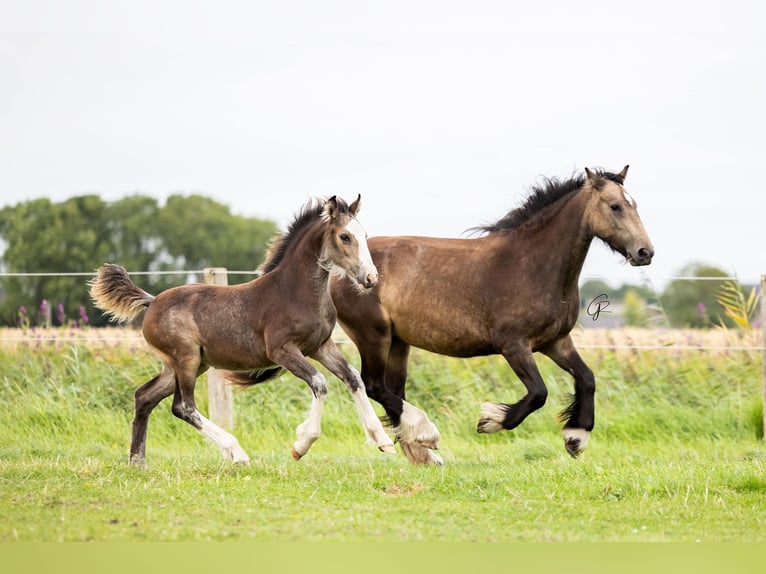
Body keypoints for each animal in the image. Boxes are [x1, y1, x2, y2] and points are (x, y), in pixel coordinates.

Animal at [90, 196, 396, 466]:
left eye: (364, 234)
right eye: (345, 237)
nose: (370, 278)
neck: (296, 291)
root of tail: (151, 301)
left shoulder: (321, 346)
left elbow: (353, 377)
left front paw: (383, 440)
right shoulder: (282, 351)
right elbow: (319, 383)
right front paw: (301, 445)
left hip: (185, 365)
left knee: (144, 396)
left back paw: (137, 461)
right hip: (186, 359)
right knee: (183, 406)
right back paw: (236, 452)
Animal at [330, 165, 656, 464]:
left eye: (635, 204)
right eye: (615, 206)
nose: (645, 252)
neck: (531, 264)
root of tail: (339, 271)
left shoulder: (556, 341)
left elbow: (587, 378)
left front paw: (576, 438)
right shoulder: (513, 345)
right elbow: (539, 393)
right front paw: (490, 420)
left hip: (399, 342)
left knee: (393, 391)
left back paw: (424, 452)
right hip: (374, 336)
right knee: (373, 384)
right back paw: (425, 434)